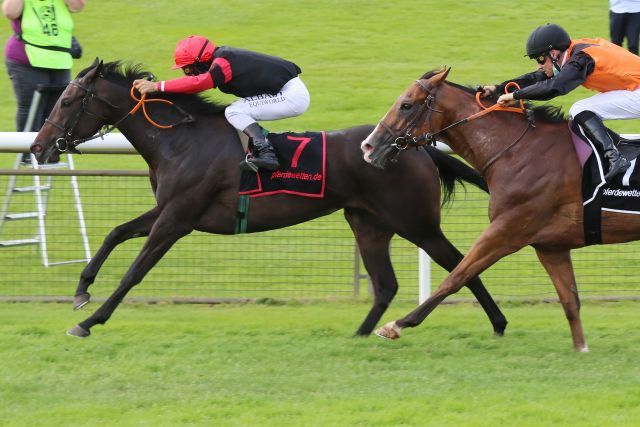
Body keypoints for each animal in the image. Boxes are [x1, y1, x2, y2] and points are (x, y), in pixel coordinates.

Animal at [28, 61, 510, 342]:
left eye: (67, 100)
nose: (38, 147)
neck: (180, 140)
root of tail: (415, 148)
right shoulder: (167, 210)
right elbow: (115, 233)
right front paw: (81, 292)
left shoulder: (177, 218)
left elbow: (134, 272)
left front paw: (88, 321)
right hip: (368, 222)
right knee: (387, 283)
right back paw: (359, 335)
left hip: (416, 222)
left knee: (461, 263)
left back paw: (498, 323)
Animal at [360, 68, 640, 352]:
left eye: (406, 105)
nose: (368, 147)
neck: (520, 151)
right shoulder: (551, 247)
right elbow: (571, 302)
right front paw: (581, 349)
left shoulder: (506, 230)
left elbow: (457, 276)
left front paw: (395, 325)